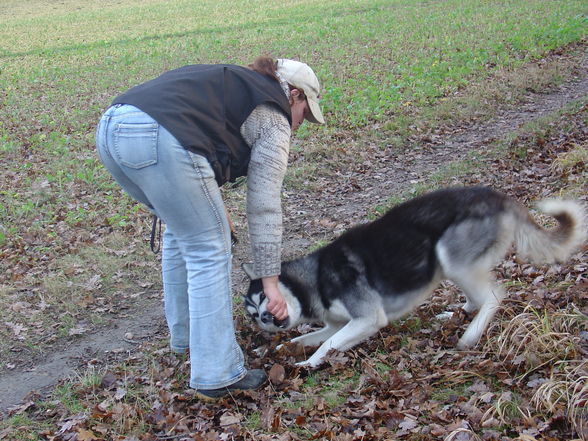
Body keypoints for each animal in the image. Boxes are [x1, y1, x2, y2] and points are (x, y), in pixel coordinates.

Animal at [242, 186, 584, 368]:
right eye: (253, 315)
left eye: (263, 299)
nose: (265, 319)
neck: (312, 279)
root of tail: (496, 195)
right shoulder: (336, 324)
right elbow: (301, 339)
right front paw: (275, 350)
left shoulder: (368, 319)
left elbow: (327, 345)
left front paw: (308, 363)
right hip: (448, 265)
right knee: (477, 296)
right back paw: (457, 313)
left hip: (450, 256)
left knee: (494, 297)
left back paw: (470, 334)